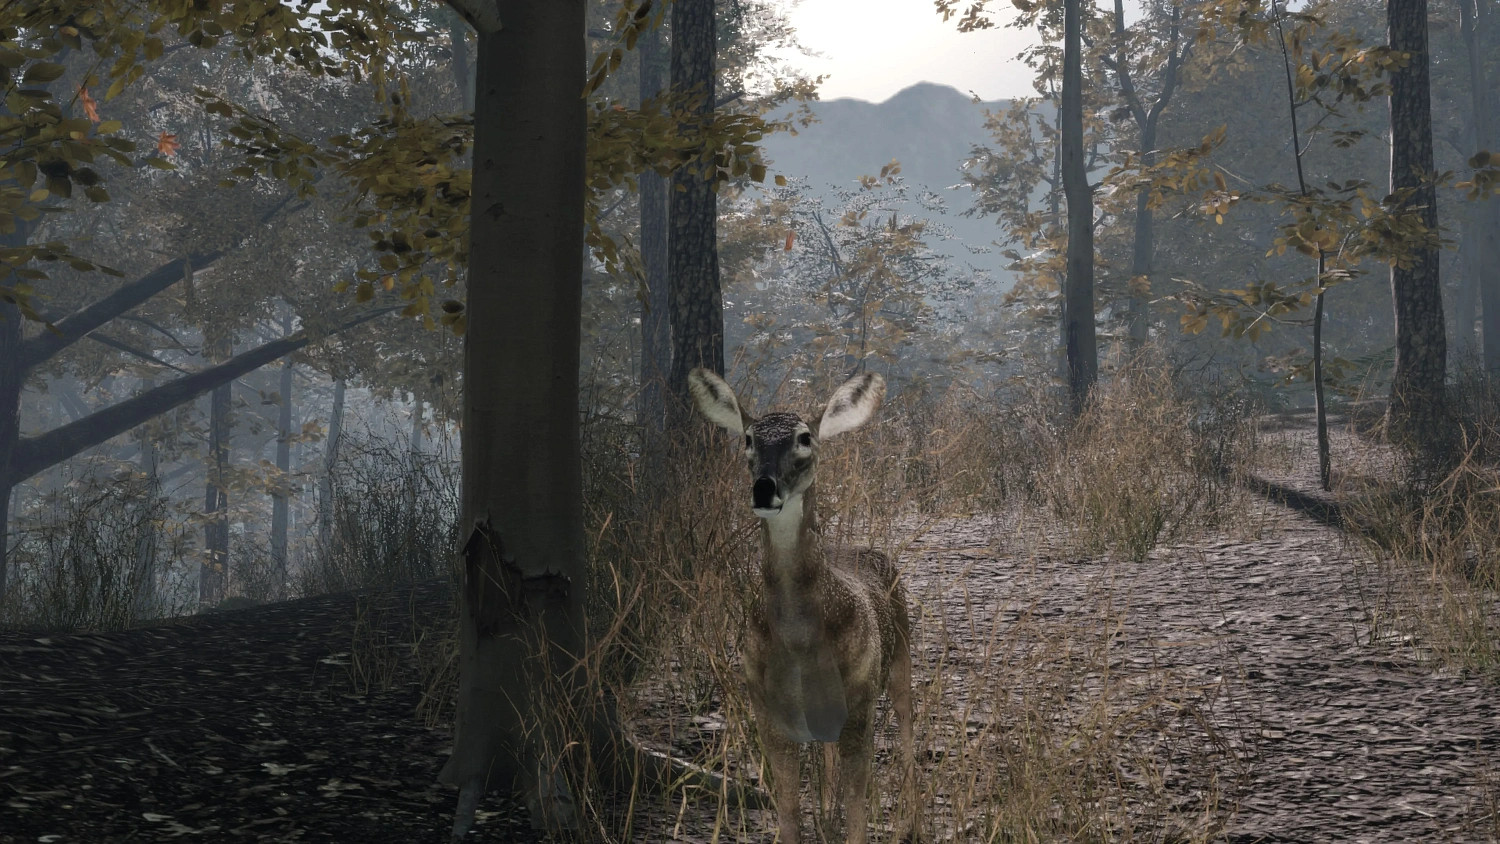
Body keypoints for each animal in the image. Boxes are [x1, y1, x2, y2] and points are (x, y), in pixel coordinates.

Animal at [687, 367, 917, 844]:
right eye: (749, 438)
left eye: (804, 437)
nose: (764, 489)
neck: (799, 643)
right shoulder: (767, 713)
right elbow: (790, 812)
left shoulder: (859, 706)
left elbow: (858, 814)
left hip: (900, 655)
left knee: (907, 726)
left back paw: (914, 823)